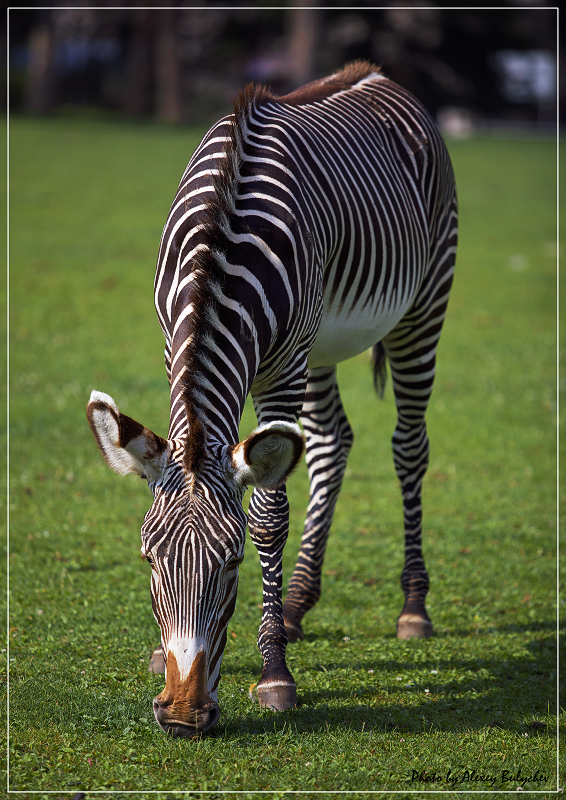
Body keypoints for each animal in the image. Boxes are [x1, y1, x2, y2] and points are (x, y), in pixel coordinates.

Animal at [86, 62, 460, 736]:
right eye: (149, 560)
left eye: (233, 562)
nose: (182, 716)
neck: (218, 249)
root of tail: (377, 74)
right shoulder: (175, 345)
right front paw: (163, 651)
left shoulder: (282, 369)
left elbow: (268, 513)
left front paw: (274, 674)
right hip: (322, 345)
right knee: (332, 443)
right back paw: (296, 602)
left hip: (423, 307)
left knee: (409, 448)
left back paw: (413, 606)